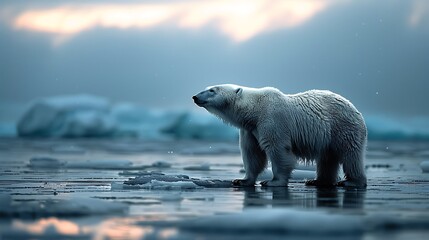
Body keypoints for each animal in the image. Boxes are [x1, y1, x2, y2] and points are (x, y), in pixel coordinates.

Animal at [192, 84, 366, 188]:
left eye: (212, 90)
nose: (195, 97)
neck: (254, 110)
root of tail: (355, 109)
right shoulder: (250, 130)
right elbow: (252, 154)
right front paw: (241, 180)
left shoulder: (272, 120)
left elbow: (278, 150)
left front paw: (272, 181)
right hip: (327, 136)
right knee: (327, 158)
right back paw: (317, 180)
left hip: (342, 127)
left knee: (350, 154)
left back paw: (351, 181)